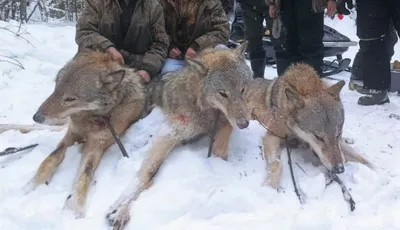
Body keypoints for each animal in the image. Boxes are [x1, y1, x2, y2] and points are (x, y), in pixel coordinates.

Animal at [22, 49, 150, 217]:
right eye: (56, 88)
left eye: (70, 99)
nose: (36, 117)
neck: (96, 116)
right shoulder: (71, 134)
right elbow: (49, 160)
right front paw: (29, 187)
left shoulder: (96, 145)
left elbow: (84, 174)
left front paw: (73, 210)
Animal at [104, 42, 252, 229]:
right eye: (223, 93)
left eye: (242, 89)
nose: (245, 124)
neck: (203, 109)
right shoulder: (170, 132)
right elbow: (148, 171)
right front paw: (120, 208)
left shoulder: (224, 121)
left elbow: (222, 141)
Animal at [245, 63, 376, 190]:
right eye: (319, 137)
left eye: (337, 134)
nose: (339, 169)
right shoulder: (271, 136)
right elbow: (276, 163)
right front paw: (271, 186)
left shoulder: (338, 144)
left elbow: (364, 159)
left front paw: (377, 172)